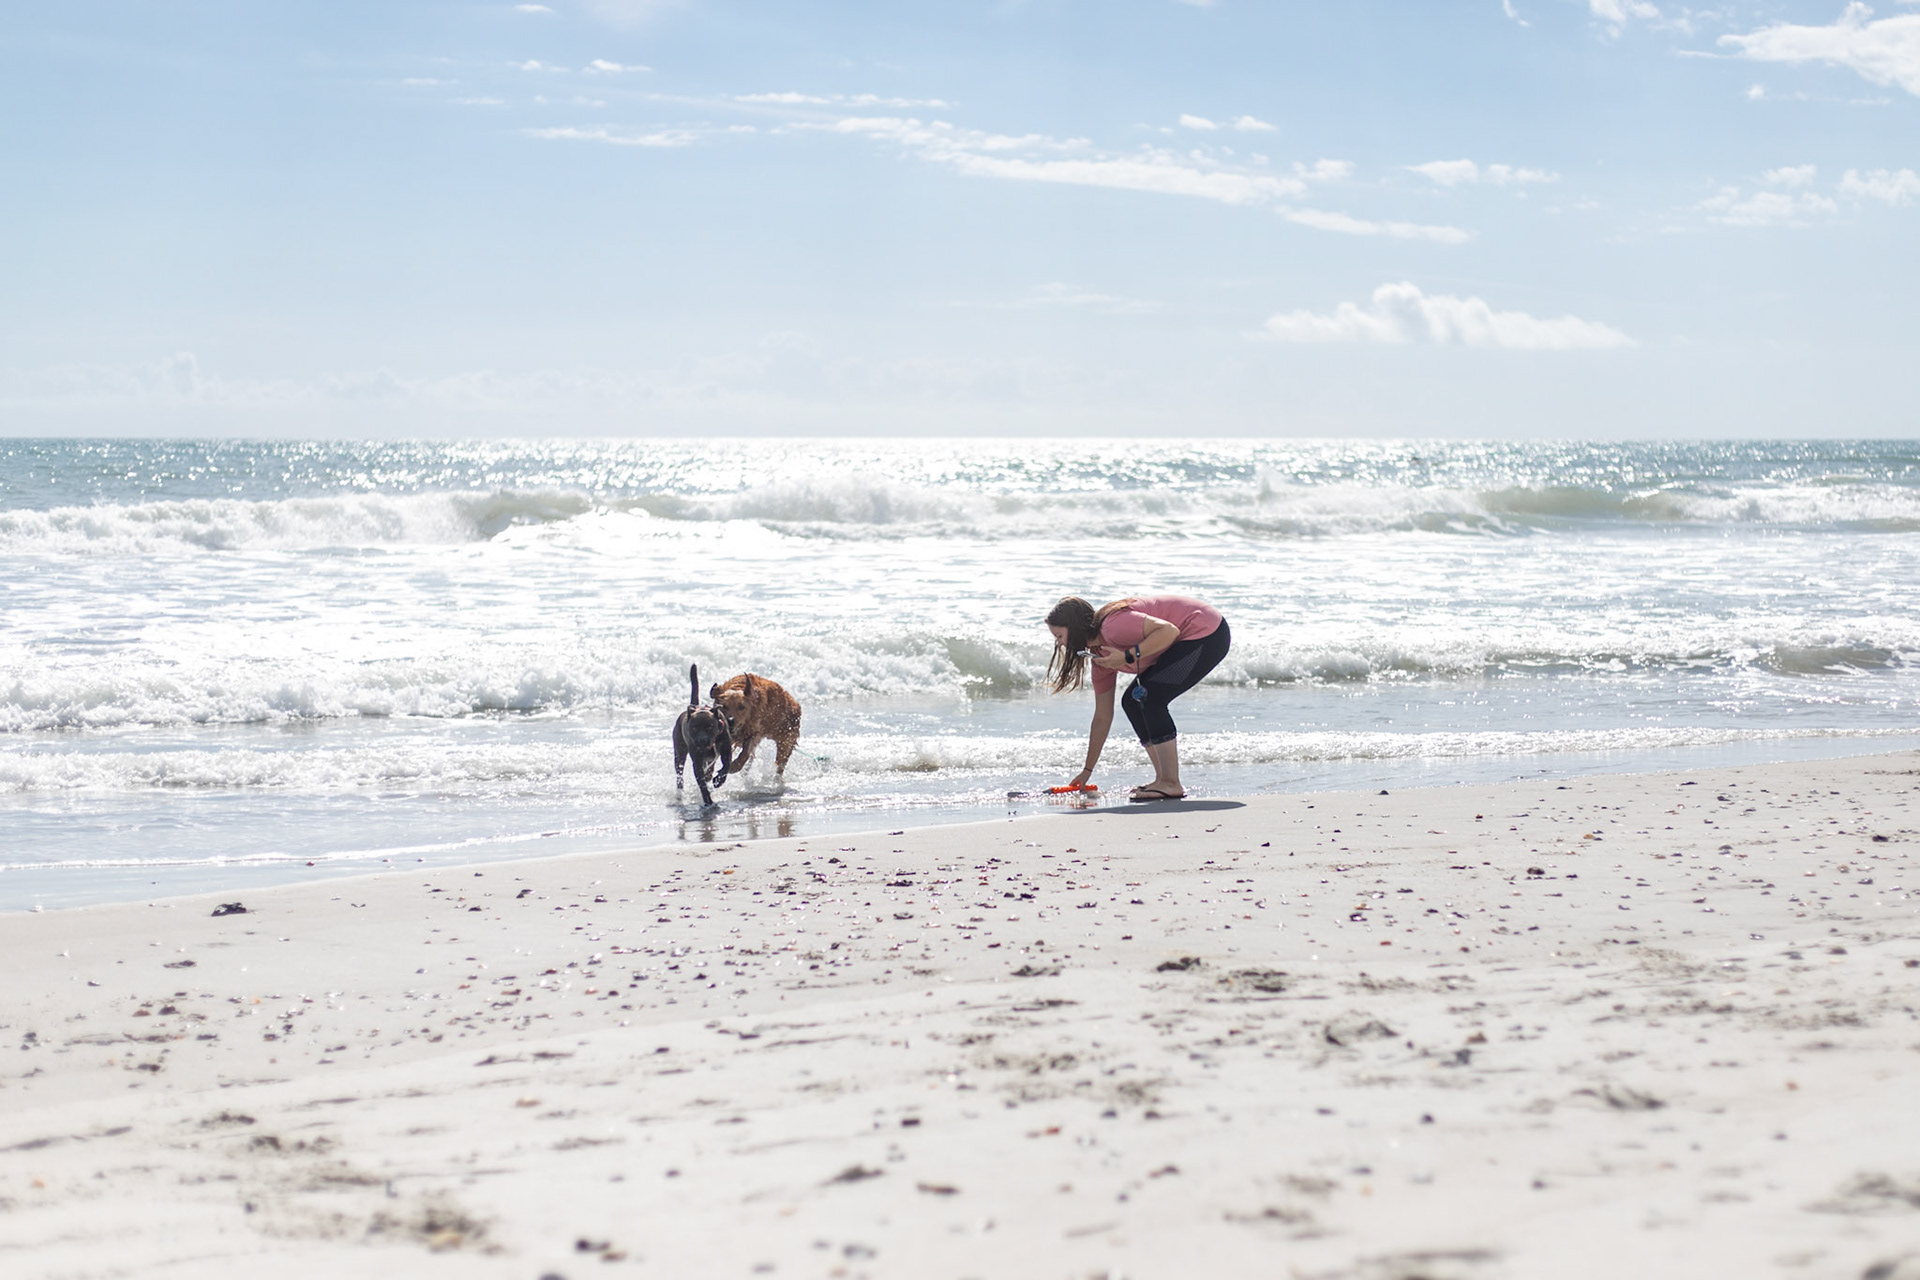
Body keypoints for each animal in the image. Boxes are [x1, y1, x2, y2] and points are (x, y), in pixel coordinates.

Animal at [672, 663, 732, 806]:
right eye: (694, 728)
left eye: (710, 727)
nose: (702, 740)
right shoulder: (697, 761)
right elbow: (701, 782)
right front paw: (707, 799)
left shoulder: (726, 749)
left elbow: (727, 765)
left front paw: (719, 780)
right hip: (679, 752)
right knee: (679, 773)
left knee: (709, 772)